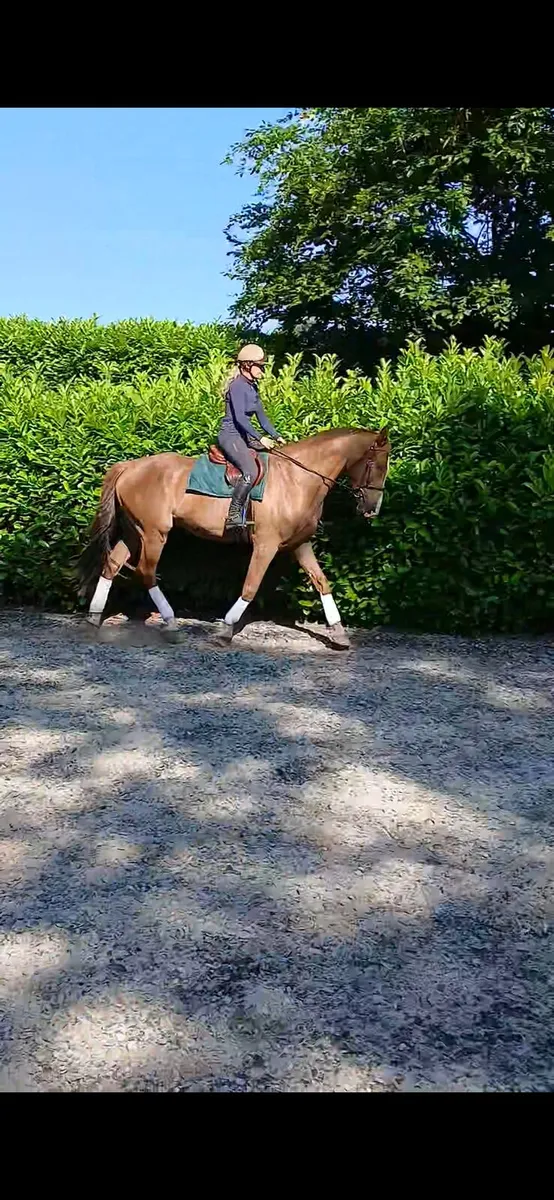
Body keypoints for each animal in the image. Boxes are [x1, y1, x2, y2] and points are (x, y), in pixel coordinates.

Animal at [78, 426, 391, 650]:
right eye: (377, 465)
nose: (372, 509)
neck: (297, 480)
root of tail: (129, 466)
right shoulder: (266, 544)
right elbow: (251, 586)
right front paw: (226, 628)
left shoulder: (300, 544)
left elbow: (321, 582)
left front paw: (339, 633)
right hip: (155, 533)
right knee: (146, 572)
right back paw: (170, 624)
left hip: (135, 531)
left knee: (113, 564)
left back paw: (94, 618)